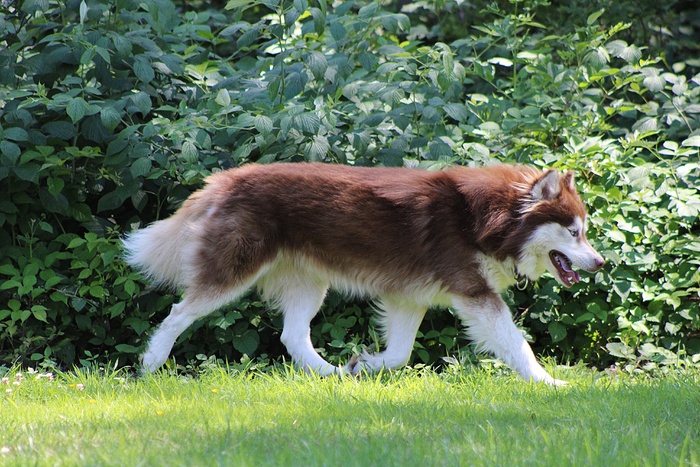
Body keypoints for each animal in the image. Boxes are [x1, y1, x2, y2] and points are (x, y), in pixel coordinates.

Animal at [123, 163, 604, 386]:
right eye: (574, 232)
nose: (600, 263)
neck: (489, 220)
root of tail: (225, 178)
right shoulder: (474, 294)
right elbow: (517, 344)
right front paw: (551, 382)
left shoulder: (409, 298)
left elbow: (400, 354)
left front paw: (365, 365)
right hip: (233, 272)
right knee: (178, 313)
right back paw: (151, 363)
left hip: (309, 283)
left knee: (292, 336)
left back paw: (332, 373)